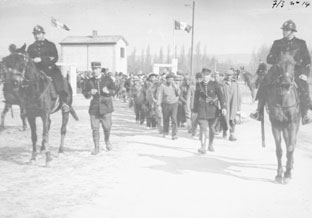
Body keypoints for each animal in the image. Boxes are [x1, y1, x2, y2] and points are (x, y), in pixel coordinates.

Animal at [264, 51, 300, 184]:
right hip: (284, 128)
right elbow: (279, 150)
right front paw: (279, 174)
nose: (285, 84)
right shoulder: (276, 126)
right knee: (286, 141)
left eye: (293, 64)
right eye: (278, 65)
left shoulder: (293, 125)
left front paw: (288, 174)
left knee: (292, 143)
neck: (283, 100)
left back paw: (291, 165)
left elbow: (290, 148)